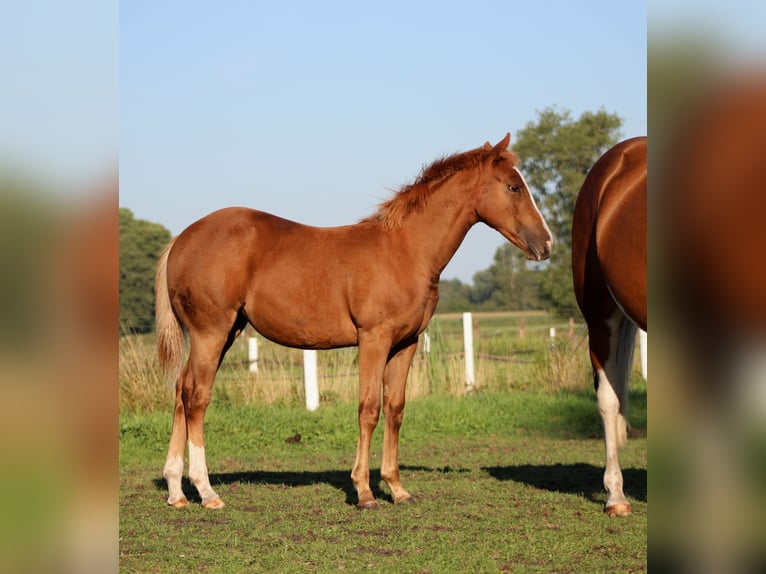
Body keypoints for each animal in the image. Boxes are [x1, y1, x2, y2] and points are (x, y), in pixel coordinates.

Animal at [155, 133, 553, 510]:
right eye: (513, 187)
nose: (546, 244)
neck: (406, 250)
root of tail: (181, 240)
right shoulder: (374, 339)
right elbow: (369, 409)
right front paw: (364, 492)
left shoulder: (406, 344)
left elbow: (395, 409)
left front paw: (397, 489)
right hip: (211, 332)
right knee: (196, 397)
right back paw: (206, 492)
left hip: (226, 333)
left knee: (180, 390)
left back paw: (177, 491)